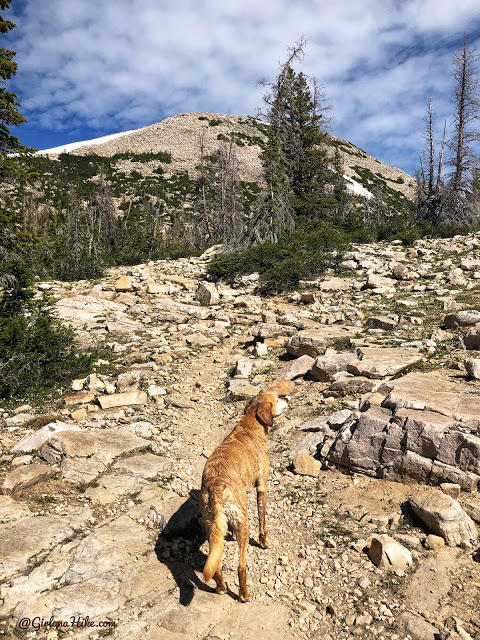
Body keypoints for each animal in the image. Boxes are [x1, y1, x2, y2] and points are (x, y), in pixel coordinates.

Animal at [199, 378, 292, 604]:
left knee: (215, 562)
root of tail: (216, 487)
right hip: (244, 522)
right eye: (277, 399)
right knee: (241, 566)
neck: (250, 423)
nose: (287, 397)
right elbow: (263, 520)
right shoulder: (262, 487)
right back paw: (244, 594)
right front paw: (264, 542)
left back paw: (221, 588)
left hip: (211, 525)